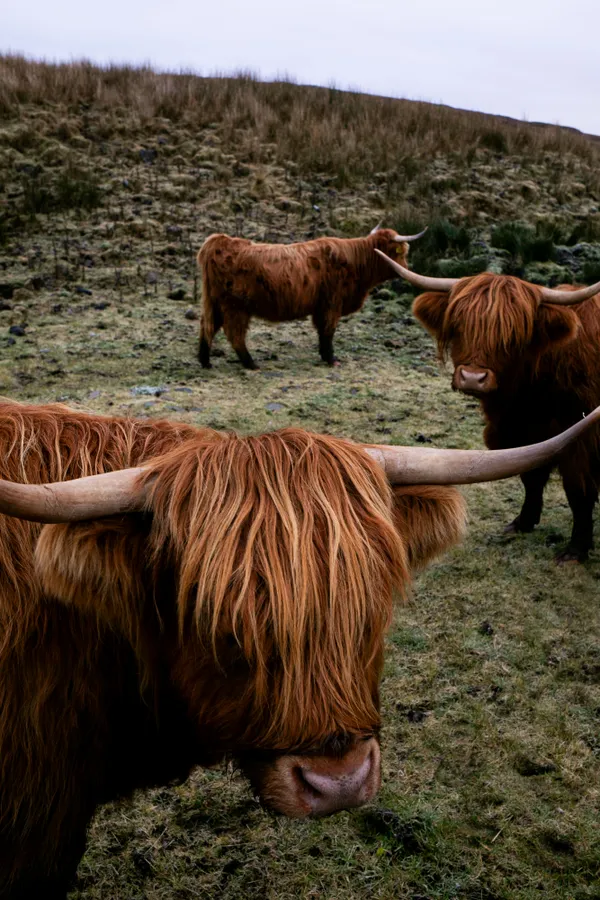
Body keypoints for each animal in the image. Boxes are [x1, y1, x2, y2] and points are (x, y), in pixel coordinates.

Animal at [197, 224, 426, 369]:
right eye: (401, 252)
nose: (406, 269)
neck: (357, 262)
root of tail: (220, 241)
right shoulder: (332, 303)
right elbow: (328, 330)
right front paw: (332, 359)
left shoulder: (321, 306)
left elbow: (322, 331)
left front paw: (325, 356)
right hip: (235, 306)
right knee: (234, 335)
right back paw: (251, 363)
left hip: (215, 302)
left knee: (207, 326)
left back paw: (205, 361)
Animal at [375, 248, 600, 562]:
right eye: (459, 326)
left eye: (513, 335)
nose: (472, 378)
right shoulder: (524, 434)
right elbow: (531, 477)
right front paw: (522, 523)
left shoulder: (581, 439)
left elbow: (578, 490)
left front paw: (575, 550)